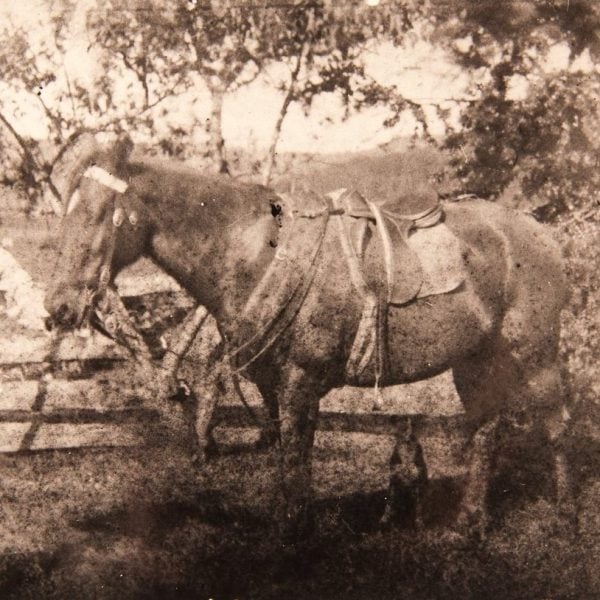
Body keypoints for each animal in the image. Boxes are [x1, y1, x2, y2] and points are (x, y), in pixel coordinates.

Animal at [44, 134, 568, 536]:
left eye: (97, 213)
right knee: (486, 431)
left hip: (535, 356)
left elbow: (297, 458)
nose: (58, 307)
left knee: (555, 423)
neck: (256, 252)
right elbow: (284, 456)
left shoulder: (300, 383)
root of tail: (538, 232)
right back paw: (469, 525)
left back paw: (563, 516)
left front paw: (296, 537)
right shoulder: (274, 386)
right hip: (475, 361)